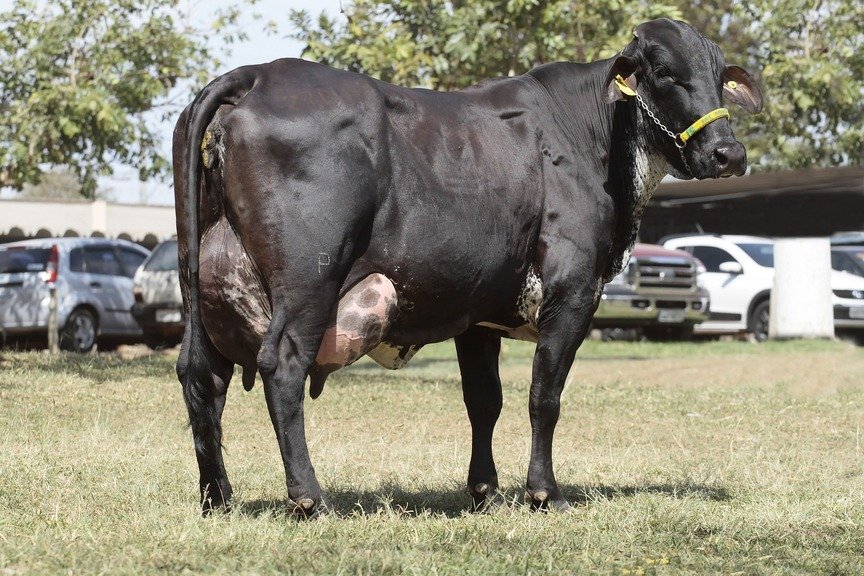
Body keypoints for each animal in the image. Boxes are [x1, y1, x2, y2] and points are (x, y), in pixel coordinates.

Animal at [174, 18, 764, 516]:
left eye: (718, 76)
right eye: (664, 73)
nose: (728, 154)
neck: (591, 138)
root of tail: (260, 73)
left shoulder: (480, 312)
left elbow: (485, 401)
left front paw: (483, 489)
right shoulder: (573, 292)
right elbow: (544, 397)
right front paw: (544, 492)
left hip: (201, 287)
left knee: (201, 373)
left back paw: (216, 496)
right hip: (310, 279)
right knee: (282, 365)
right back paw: (307, 497)